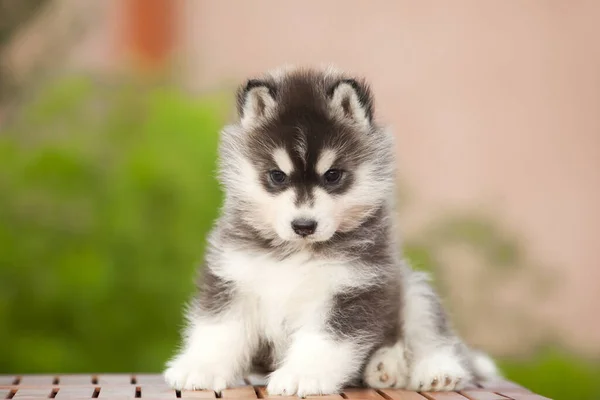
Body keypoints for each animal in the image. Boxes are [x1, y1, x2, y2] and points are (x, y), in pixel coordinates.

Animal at [163, 66, 496, 396]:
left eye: (333, 175)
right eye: (277, 176)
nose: (303, 225)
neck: (296, 254)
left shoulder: (353, 289)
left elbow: (324, 343)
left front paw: (301, 375)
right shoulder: (233, 278)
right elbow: (219, 331)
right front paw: (200, 367)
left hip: (414, 290)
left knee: (432, 335)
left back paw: (433, 370)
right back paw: (386, 367)